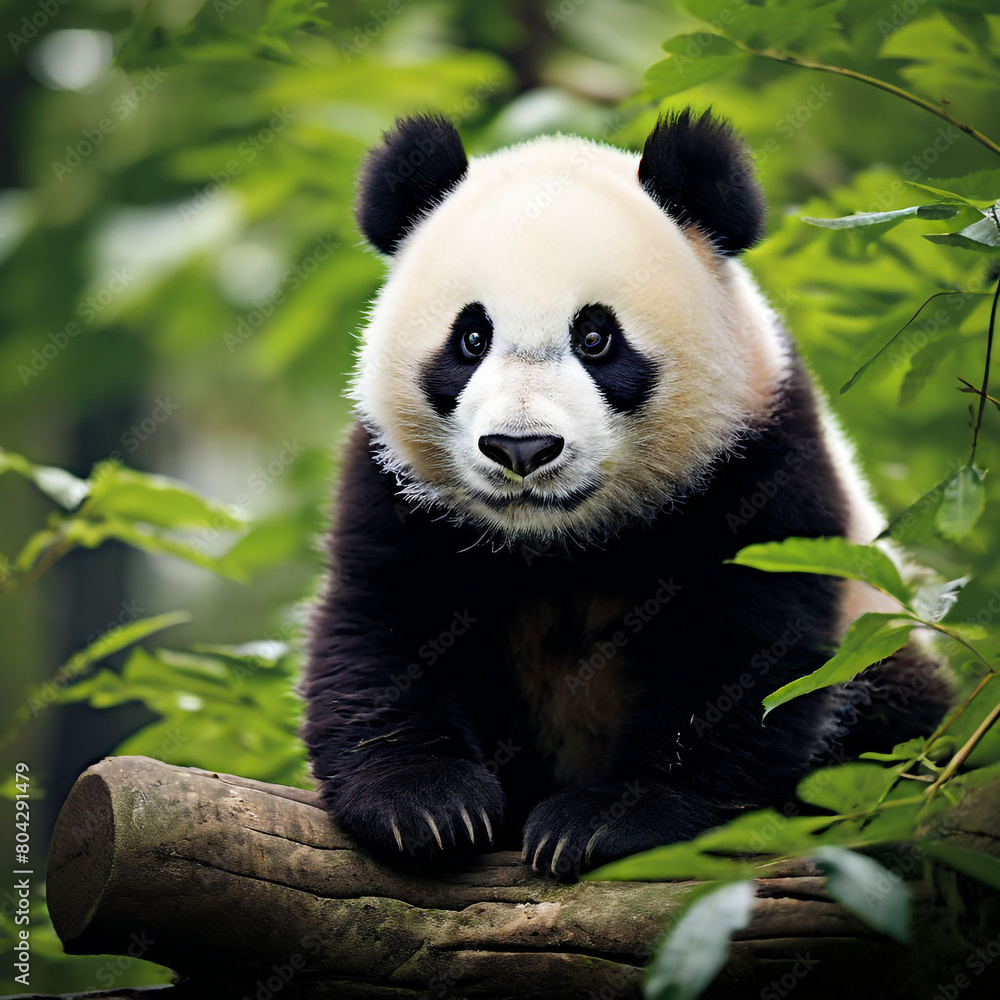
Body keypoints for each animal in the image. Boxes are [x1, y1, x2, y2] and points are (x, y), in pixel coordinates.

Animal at [302, 109, 950, 881]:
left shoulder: (760, 465)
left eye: (595, 338)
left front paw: (603, 821)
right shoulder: (396, 485)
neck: (563, 542)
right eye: (471, 337)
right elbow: (384, 624)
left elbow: (741, 654)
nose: (521, 448)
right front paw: (425, 804)